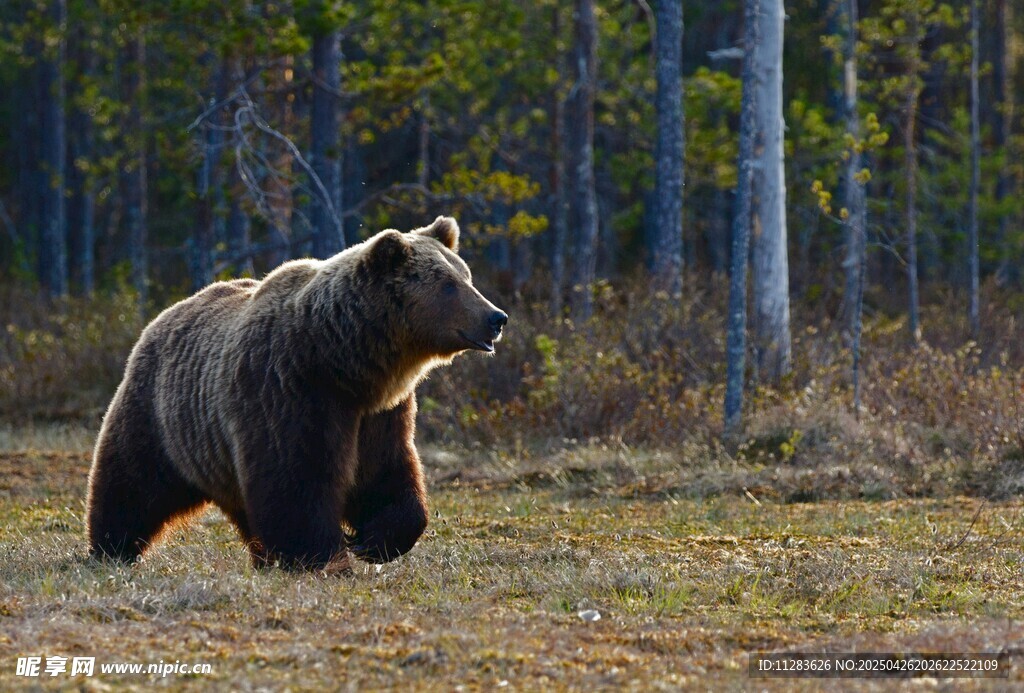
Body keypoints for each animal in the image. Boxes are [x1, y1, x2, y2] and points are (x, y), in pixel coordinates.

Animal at [86, 216, 507, 572]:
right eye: (448, 284)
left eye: (466, 276)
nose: (496, 317)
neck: (345, 362)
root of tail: (163, 315)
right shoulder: (290, 389)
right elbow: (296, 479)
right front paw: (324, 556)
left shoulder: (380, 412)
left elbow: (386, 472)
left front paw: (373, 541)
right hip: (161, 415)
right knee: (131, 482)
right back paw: (110, 548)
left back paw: (261, 557)